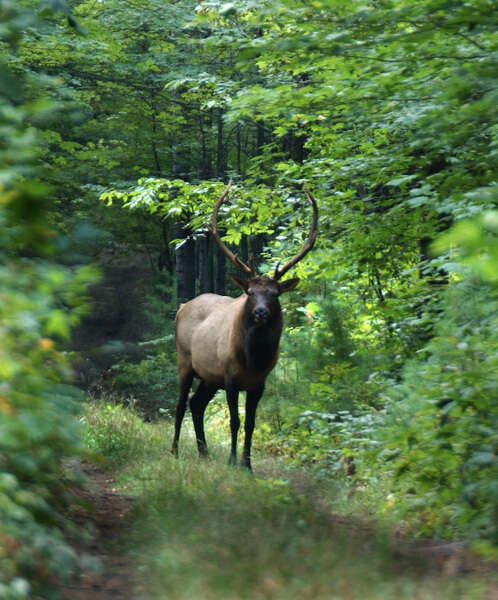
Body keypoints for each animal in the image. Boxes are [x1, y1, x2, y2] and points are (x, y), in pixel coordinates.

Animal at [171, 180, 320, 472]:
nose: (261, 312)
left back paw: (204, 452)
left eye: (274, 294)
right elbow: (235, 421)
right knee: (181, 404)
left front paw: (247, 466)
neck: (254, 359)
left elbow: (250, 424)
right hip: (185, 360)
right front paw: (232, 462)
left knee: (196, 403)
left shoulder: (258, 383)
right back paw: (174, 451)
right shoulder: (230, 377)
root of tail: (181, 308)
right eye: (250, 292)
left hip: (209, 376)